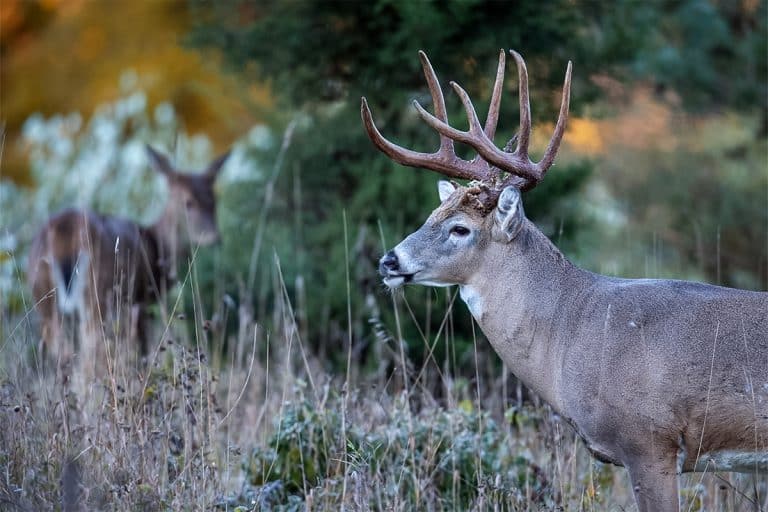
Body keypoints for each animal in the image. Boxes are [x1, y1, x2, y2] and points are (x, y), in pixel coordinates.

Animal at [27, 145, 229, 371]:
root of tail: (65, 231)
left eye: (214, 201)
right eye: (188, 202)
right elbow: (142, 347)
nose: (215, 238)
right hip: (98, 291)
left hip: (43, 295)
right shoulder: (140, 300)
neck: (156, 244)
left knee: (61, 349)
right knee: (90, 348)